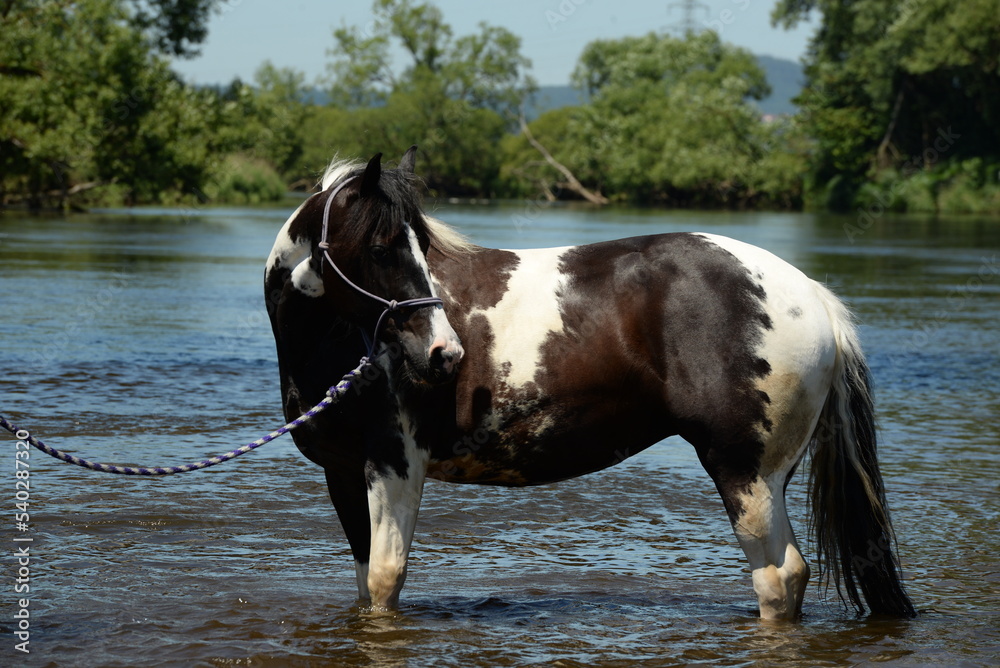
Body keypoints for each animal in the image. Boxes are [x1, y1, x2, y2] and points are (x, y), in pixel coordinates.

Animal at [263, 148, 916, 620]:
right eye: (380, 248)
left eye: (419, 247)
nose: (443, 353)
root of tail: (810, 295)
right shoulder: (344, 472)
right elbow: (363, 583)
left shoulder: (396, 465)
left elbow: (384, 581)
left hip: (745, 472)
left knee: (780, 578)